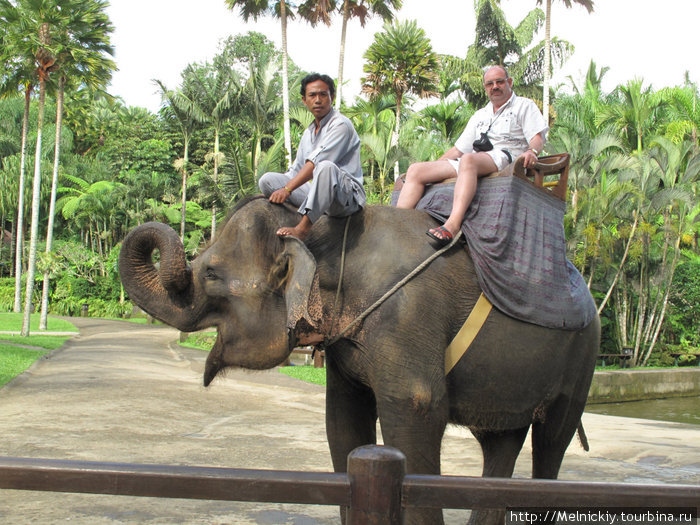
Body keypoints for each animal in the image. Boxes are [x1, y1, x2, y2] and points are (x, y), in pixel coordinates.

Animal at [117, 194, 600, 520]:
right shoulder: (344, 342)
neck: (324, 237)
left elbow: (417, 412)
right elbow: (343, 423)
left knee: (550, 442)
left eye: (212, 274)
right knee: (502, 442)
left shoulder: (407, 319)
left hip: (581, 360)